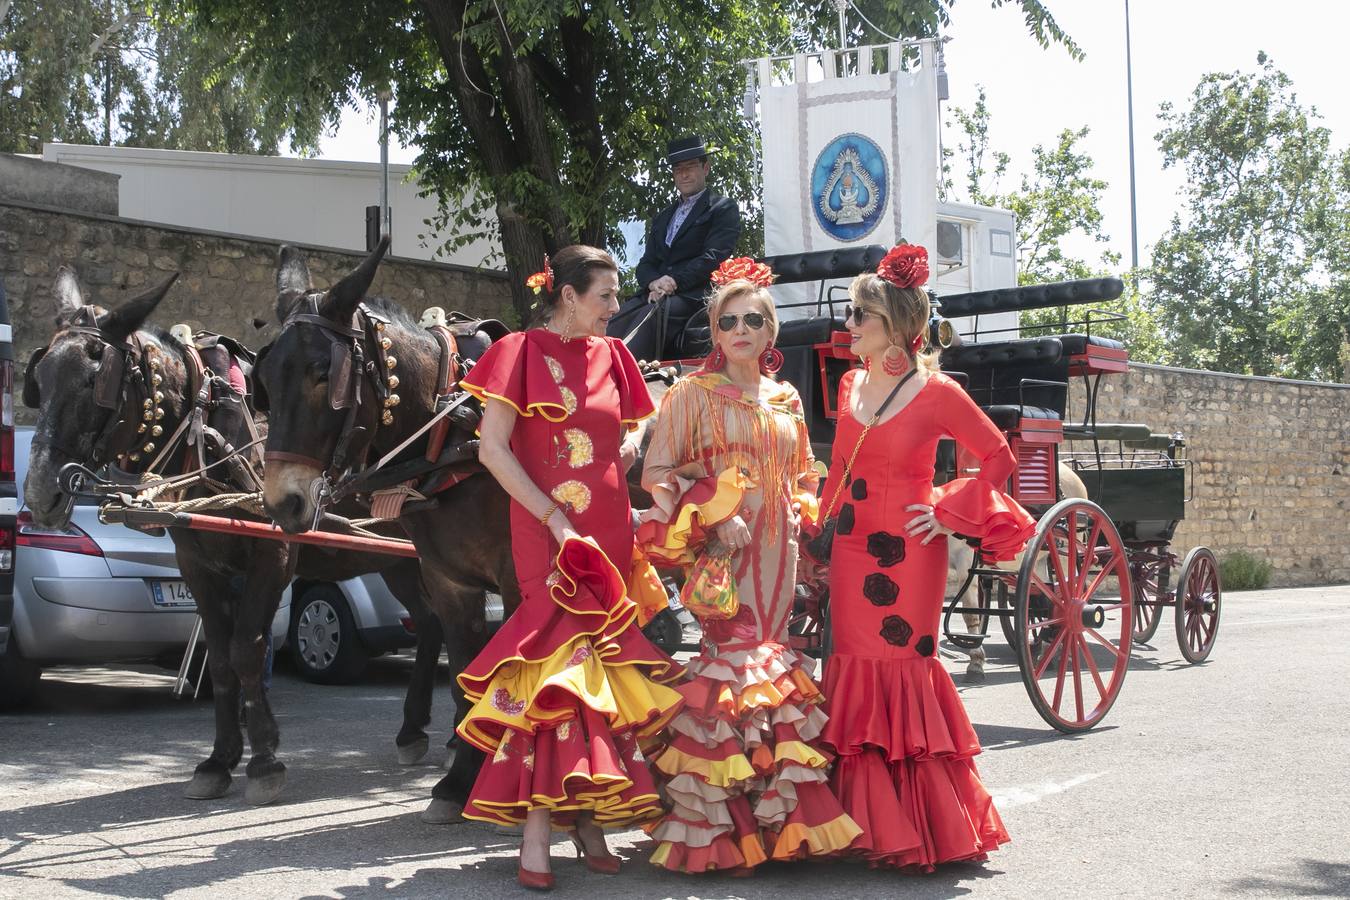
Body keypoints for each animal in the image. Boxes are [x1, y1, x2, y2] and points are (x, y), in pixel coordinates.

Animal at [19, 265, 448, 804]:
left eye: (96, 379)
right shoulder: (198, 565)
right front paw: (219, 760)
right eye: (39, 381)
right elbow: (221, 658)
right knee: (432, 624)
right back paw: (414, 731)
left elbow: (247, 649)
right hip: (398, 560)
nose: (39, 492)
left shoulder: (274, 556)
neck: (206, 433)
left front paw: (263, 759)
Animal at [253, 237, 521, 825]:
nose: (284, 501)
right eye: (265, 381)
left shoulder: (521, 581)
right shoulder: (450, 581)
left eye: (321, 373)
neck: (454, 438)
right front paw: (458, 784)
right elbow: (467, 677)